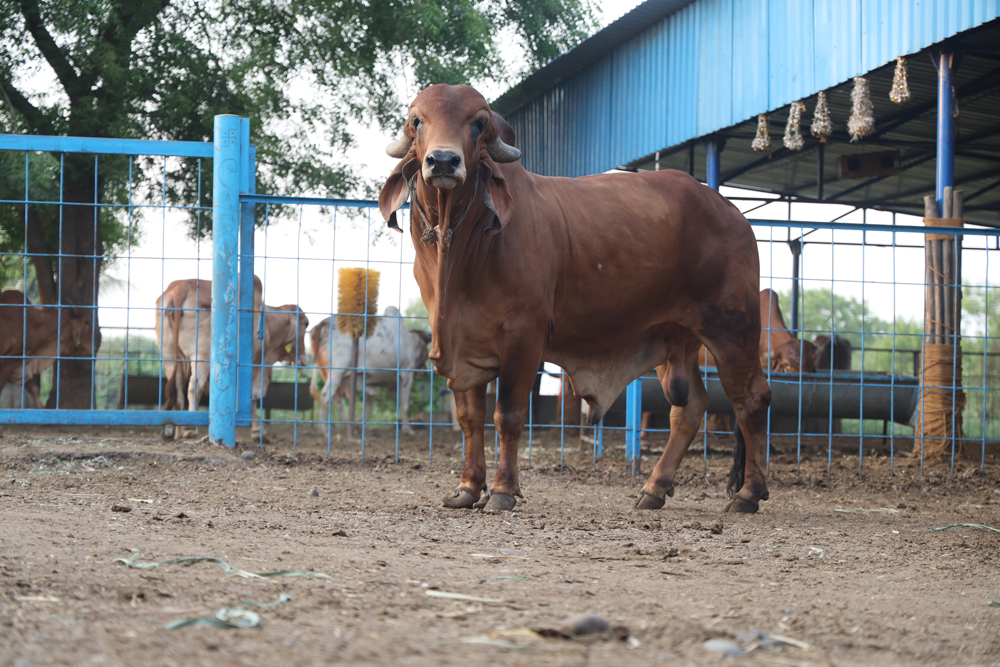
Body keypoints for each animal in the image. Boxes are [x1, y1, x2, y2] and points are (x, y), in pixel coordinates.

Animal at [155, 278, 308, 440]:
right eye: (306, 324)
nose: (304, 360)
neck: (268, 324)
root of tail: (180, 288)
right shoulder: (256, 363)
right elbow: (253, 396)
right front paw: (257, 432)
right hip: (201, 355)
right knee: (194, 386)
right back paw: (191, 429)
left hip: (169, 355)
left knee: (178, 391)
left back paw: (179, 432)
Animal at [309, 306, 431, 436]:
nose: (424, 372)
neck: (412, 341)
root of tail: (324, 322)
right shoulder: (406, 374)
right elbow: (404, 405)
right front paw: (408, 430)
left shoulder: (367, 380)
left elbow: (369, 407)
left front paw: (358, 424)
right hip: (337, 373)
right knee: (325, 395)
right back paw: (324, 430)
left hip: (326, 373)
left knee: (336, 401)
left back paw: (346, 426)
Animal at [378, 84, 772, 514]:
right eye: (417, 121)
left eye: (478, 123)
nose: (444, 161)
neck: (462, 245)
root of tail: (731, 210)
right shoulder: (460, 341)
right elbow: (469, 418)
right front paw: (467, 488)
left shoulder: (524, 336)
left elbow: (507, 415)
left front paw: (502, 491)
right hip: (676, 338)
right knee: (690, 407)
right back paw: (654, 488)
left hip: (732, 327)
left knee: (751, 399)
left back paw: (749, 494)